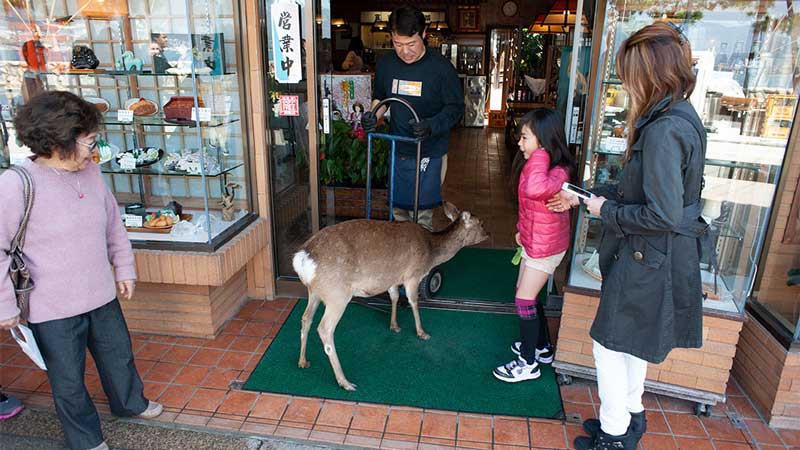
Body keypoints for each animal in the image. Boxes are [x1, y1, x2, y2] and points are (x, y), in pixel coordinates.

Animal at [290, 204, 484, 390]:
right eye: (481, 223)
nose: (488, 234)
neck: (430, 253)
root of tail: (302, 258)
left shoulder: (392, 278)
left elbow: (395, 297)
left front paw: (394, 326)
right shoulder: (412, 275)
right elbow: (413, 301)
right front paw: (422, 332)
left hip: (314, 291)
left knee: (306, 318)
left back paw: (302, 361)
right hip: (336, 294)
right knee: (325, 329)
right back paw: (344, 382)